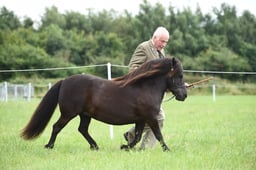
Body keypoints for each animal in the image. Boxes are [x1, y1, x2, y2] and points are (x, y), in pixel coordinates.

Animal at [21, 57, 187, 151]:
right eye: (179, 75)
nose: (184, 95)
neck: (144, 87)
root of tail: (65, 81)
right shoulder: (150, 117)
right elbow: (158, 135)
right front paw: (167, 149)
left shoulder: (141, 119)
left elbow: (138, 136)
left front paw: (125, 147)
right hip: (68, 114)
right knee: (57, 127)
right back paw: (49, 146)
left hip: (85, 115)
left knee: (82, 129)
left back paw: (94, 146)